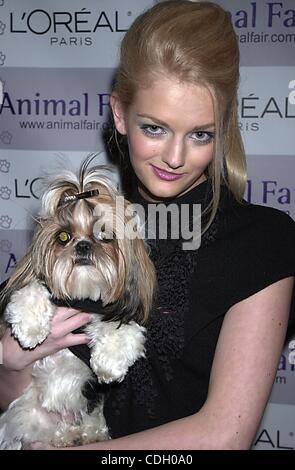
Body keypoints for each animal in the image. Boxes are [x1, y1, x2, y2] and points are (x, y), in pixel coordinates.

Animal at [0, 160, 156, 450]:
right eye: (63, 237)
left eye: (104, 235)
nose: (82, 246)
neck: (82, 299)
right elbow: (32, 290)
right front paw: (30, 328)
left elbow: (124, 329)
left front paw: (109, 361)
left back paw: (82, 435)